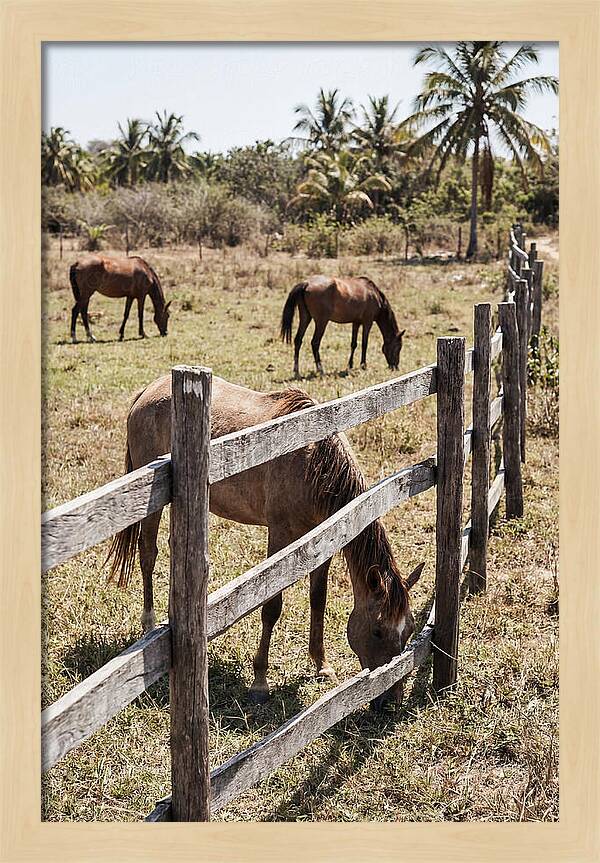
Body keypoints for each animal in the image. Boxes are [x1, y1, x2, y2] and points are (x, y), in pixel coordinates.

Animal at [108, 375, 425, 710]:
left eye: (409, 630)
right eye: (377, 631)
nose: (391, 700)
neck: (313, 461)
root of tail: (148, 391)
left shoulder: (323, 538)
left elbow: (318, 599)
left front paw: (321, 665)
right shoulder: (280, 534)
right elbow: (272, 606)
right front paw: (260, 681)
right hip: (150, 502)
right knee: (147, 554)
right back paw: (149, 624)